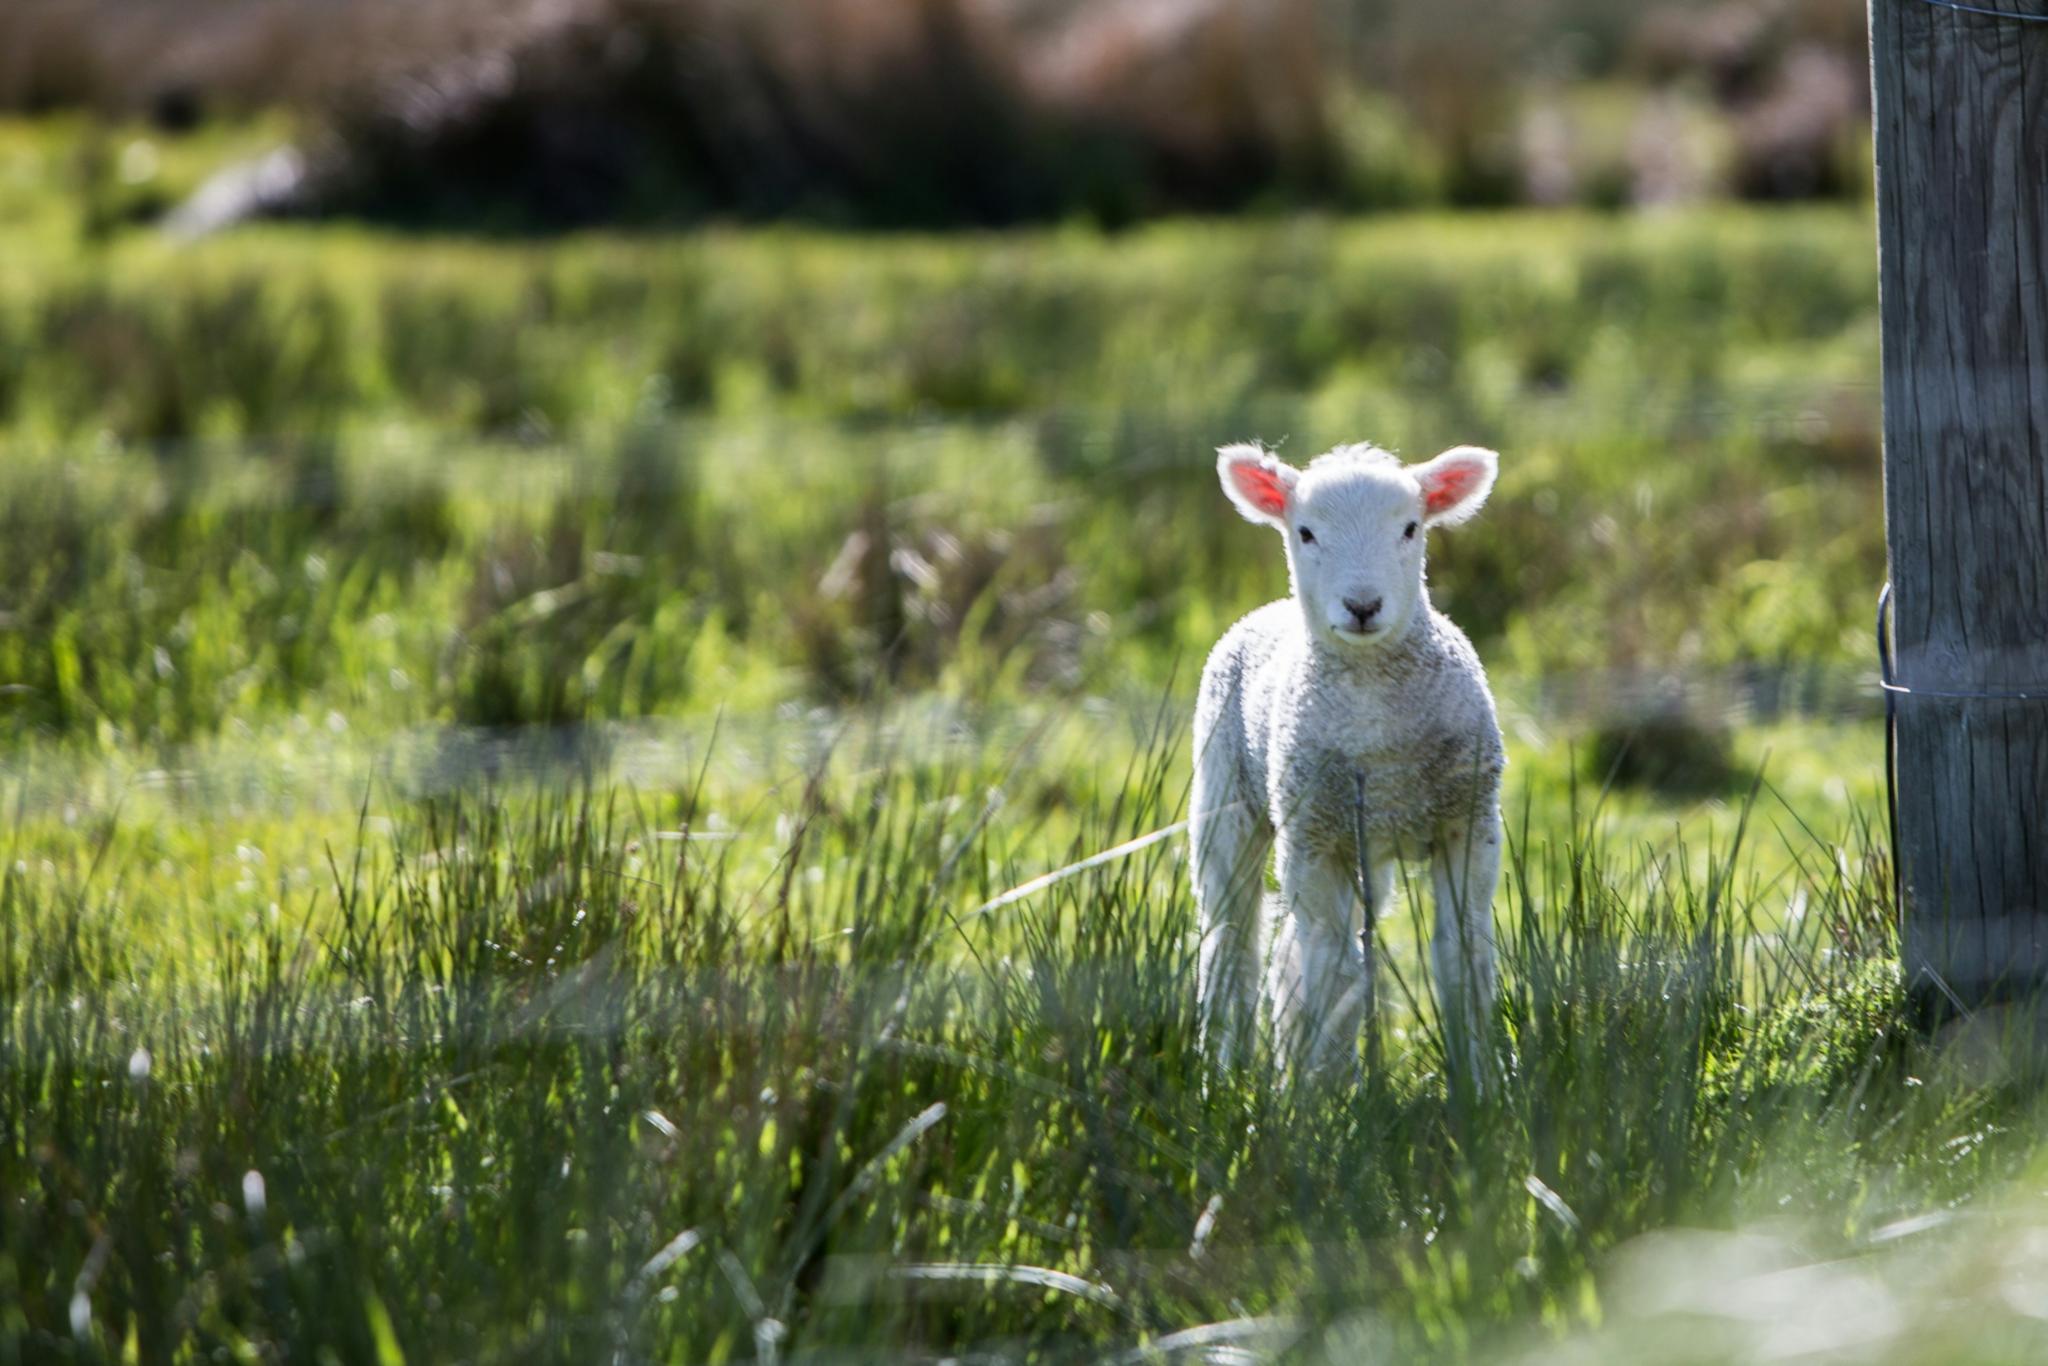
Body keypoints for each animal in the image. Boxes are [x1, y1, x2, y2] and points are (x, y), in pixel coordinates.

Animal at [1196, 438, 1507, 1081]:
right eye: (1306, 532)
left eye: (1411, 528)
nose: (1362, 606)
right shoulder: (1314, 840)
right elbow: (1332, 969)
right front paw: (1328, 1092)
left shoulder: (1469, 823)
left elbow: (1462, 955)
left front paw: (1478, 1082)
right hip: (1225, 800)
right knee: (1232, 942)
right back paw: (1226, 1071)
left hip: (1369, 848)